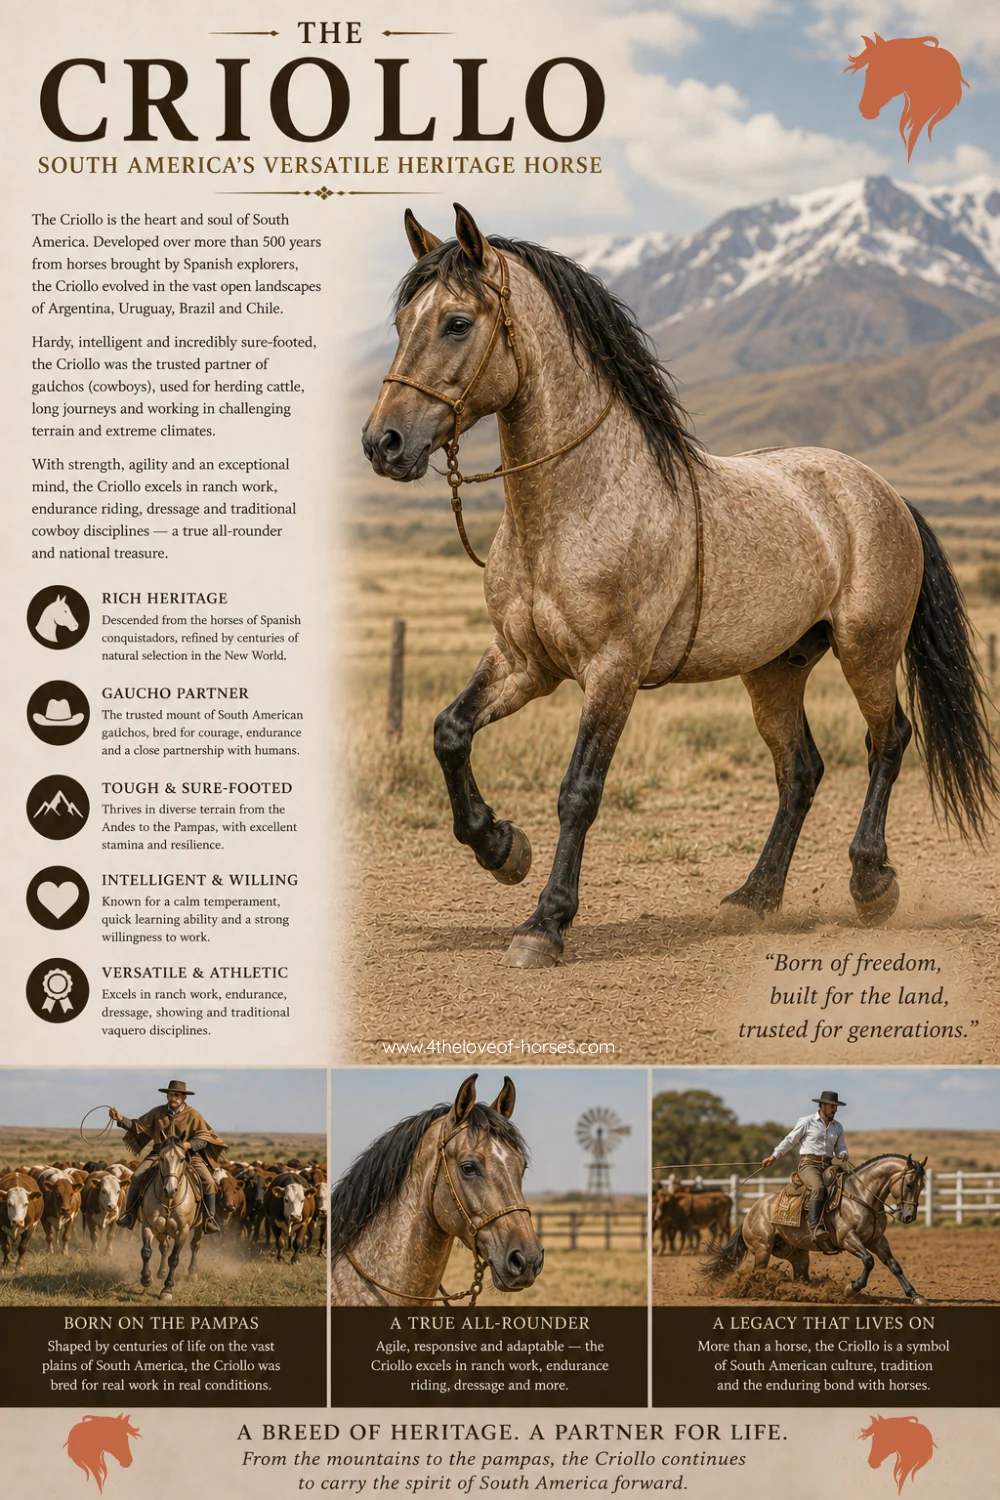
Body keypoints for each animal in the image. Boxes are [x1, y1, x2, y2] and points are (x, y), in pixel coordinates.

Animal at [135, 1138, 206, 1300]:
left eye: (182, 1159)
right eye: (161, 1158)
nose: (170, 1189)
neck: (169, 1201)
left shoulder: (183, 1231)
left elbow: (174, 1259)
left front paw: (167, 1289)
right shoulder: (149, 1225)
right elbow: (146, 1251)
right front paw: (146, 1278)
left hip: (200, 1226)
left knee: (195, 1245)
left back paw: (192, 1272)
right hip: (162, 1231)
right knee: (164, 1247)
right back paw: (161, 1272)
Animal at [363, 206, 997, 968]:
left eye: (457, 323)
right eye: (403, 321)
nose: (383, 444)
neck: (575, 507)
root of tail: (885, 493)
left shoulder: (613, 671)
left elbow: (579, 791)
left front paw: (544, 923)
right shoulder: (523, 664)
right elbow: (449, 733)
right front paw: (502, 849)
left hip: (866, 650)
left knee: (889, 741)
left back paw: (871, 883)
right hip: (774, 669)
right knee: (801, 771)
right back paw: (753, 899)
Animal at [704, 1153, 929, 1303]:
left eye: (922, 1186)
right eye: (909, 1184)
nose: (909, 1216)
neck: (861, 1195)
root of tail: (751, 1212)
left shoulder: (877, 1241)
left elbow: (894, 1265)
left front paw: (915, 1295)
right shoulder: (848, 1239)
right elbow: (868, 1260)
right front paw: (851, 1288)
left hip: (798, 1255)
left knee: (800, 1275)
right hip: (762, 1249)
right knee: (759, 1272)